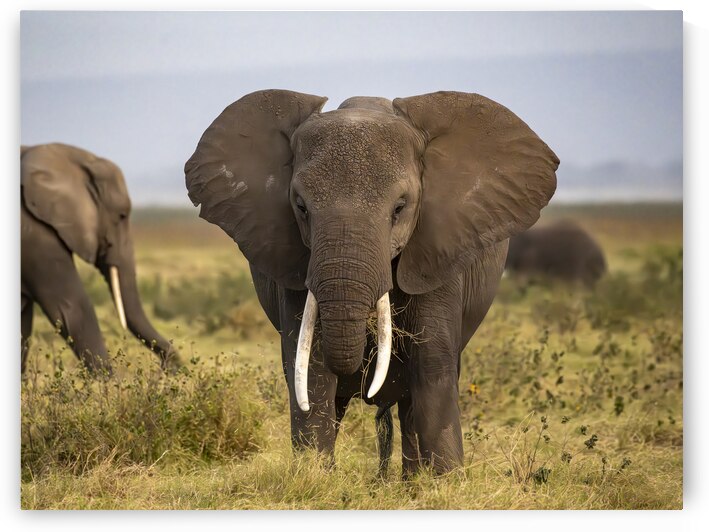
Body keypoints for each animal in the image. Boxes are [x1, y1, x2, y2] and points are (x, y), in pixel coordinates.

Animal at [21, 143, 181, 375]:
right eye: (122, 215)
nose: (168, 367)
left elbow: (24, 320)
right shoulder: (36, 236)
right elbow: (73, 306)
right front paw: (110, 384)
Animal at [185, 90, 558, 475]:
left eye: (400, 208)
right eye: (300, 207)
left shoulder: (439, 250)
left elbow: (432, 367)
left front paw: (445, 481)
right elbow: (311, 370)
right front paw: (315, 477)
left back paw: (413, 481)